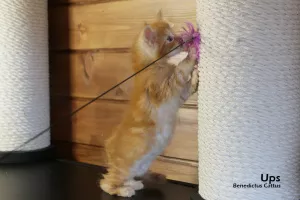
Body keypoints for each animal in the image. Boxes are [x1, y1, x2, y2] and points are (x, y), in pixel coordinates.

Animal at [99, 10, 199, 197]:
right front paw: (191, 55)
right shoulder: (165, 89)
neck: (151, 66)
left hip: (138, 167)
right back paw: (124, 190)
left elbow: (188, 85)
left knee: (127, 177)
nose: (182, 40)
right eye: (170, 38)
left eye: (174, 34)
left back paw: (134, 184)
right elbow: (180, 70)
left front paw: (196, 75)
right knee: (107, 183)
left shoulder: (179, 95)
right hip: (123, 168)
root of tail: (108, 146)